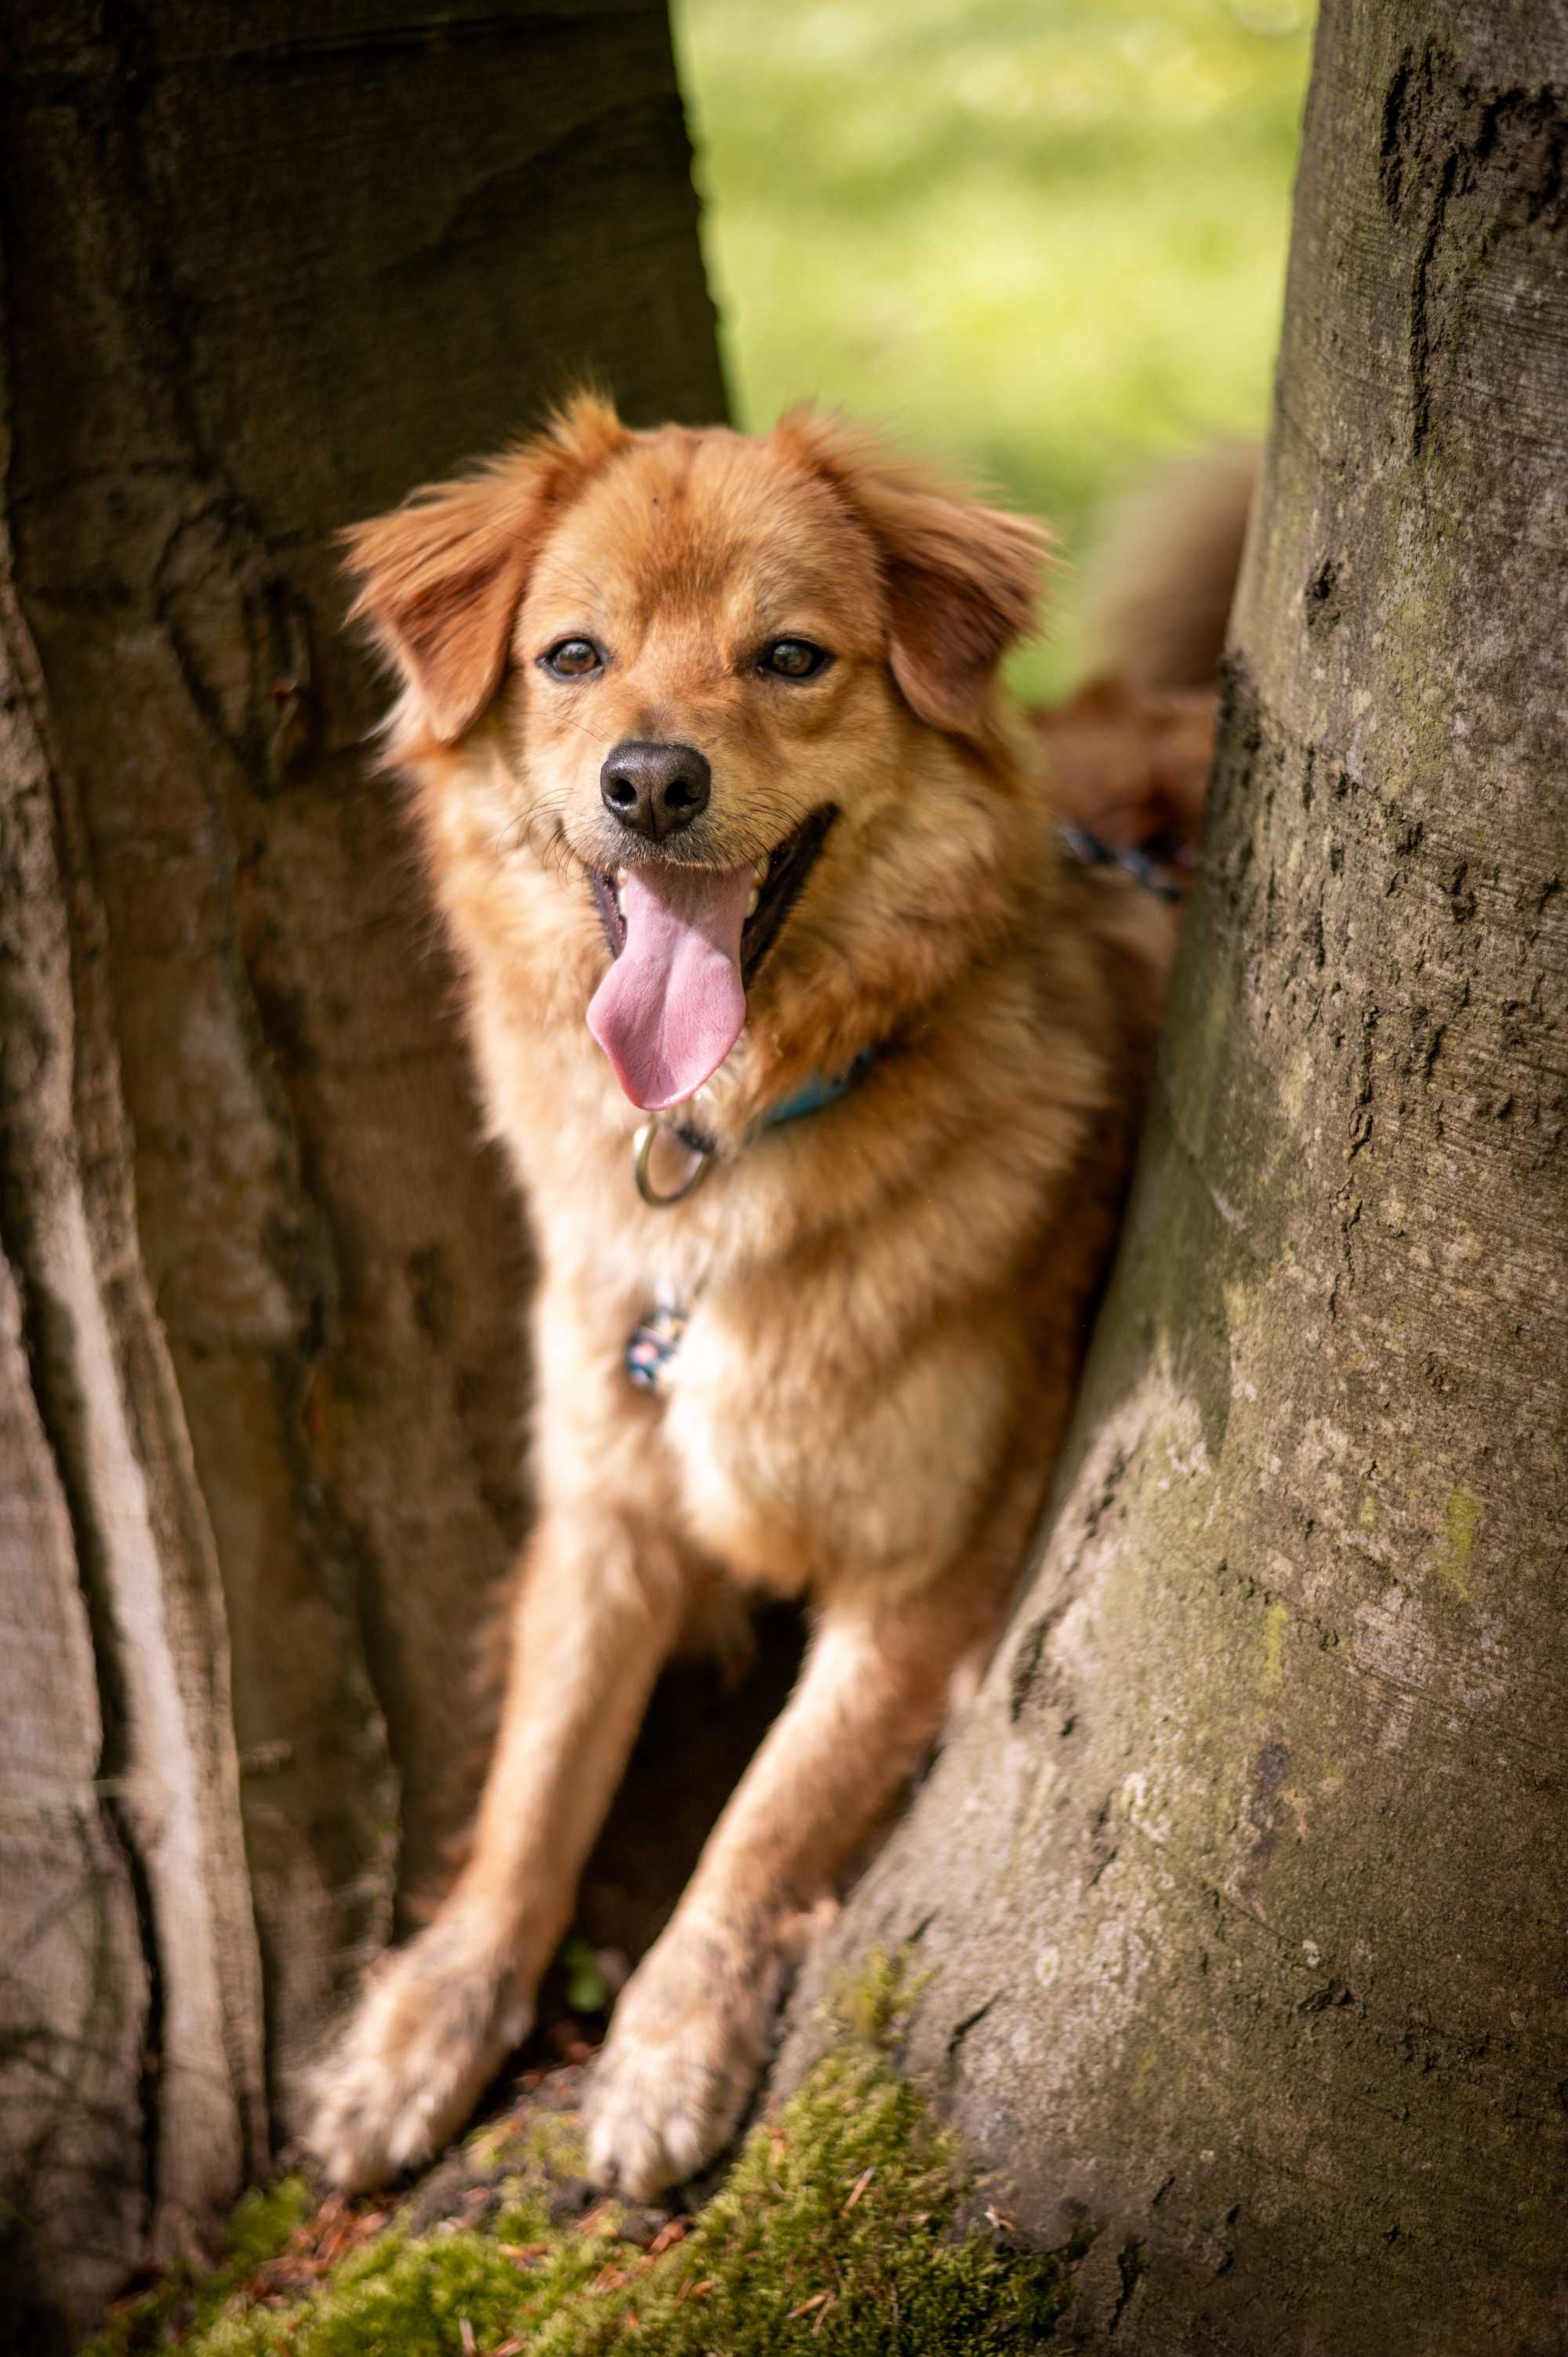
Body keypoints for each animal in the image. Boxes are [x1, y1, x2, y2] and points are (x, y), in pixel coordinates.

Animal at [308, 401, 1244, 2187]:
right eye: (574, 655)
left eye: (791, 657)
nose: (651, 780)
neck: (729, 1143)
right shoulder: (604, 1509)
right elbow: (531, 1795)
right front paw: (423, 2026)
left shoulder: (926, 1575)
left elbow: (762, 1820)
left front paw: (667, 2044)